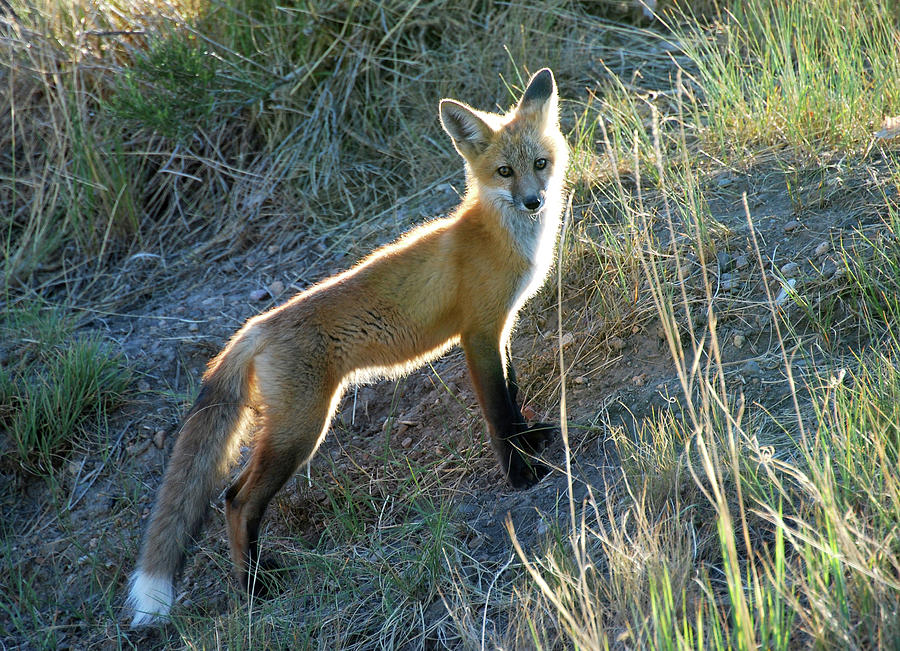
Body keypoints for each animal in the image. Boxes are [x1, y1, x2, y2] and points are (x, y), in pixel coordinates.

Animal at [125, 66, 568, 628]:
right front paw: (521, 476)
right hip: (301, 430)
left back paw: (256, 577)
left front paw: (532, 442)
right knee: (237, 501)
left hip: (290, 427)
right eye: (505, 171)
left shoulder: (502, 330)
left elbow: (513, 395)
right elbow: (498, 414)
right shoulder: (479, 333)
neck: (500, 238)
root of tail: (256, 326)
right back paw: (256, 588)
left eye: (540, 164)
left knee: (229, 494)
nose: (535, 201)